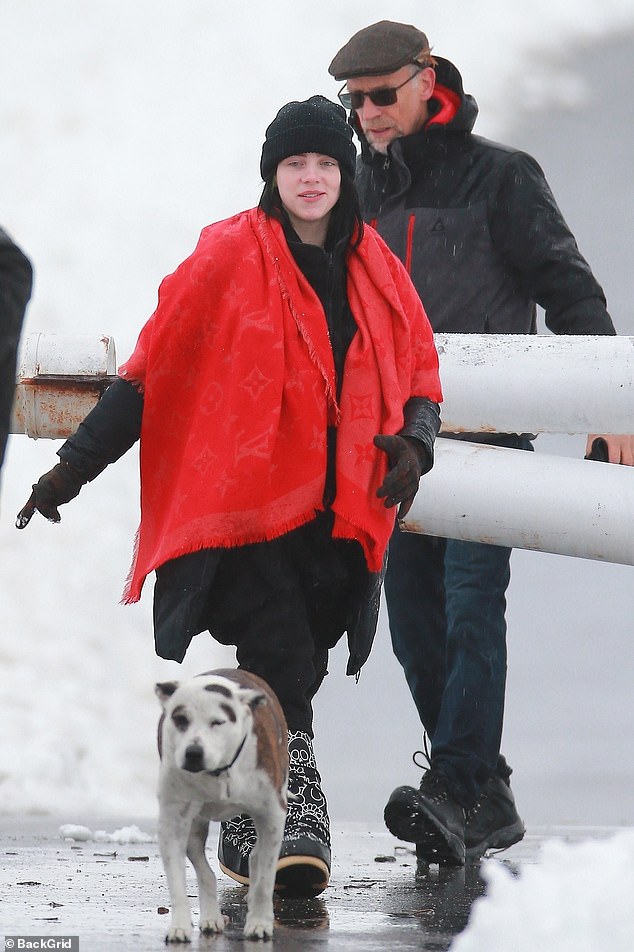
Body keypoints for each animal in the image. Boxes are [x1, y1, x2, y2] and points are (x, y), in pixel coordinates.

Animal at [156, 664, 288, 940]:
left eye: (217, 722)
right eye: (180, 720)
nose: (194, 752)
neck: (217, 772)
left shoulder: (272, 815)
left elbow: (265, 880)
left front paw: (259, 922)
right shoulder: (172, 822)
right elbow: (177, 881)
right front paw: (180, 926)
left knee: (257, 857)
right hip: (194, 827)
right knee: (204, 870)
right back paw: (211, 917)